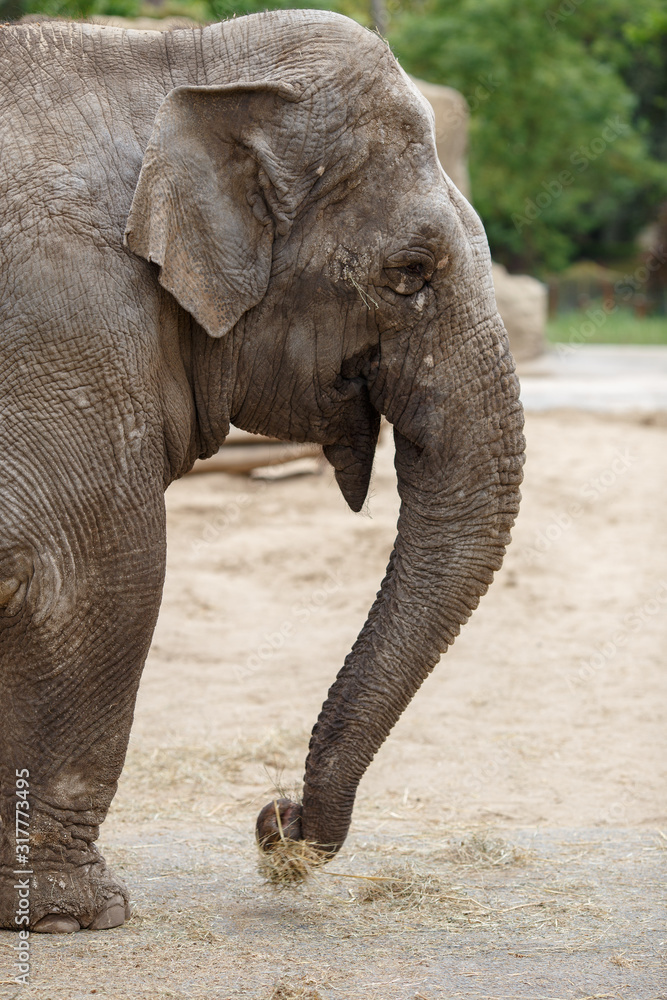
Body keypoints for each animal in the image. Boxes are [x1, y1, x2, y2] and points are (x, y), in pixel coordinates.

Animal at [0, 9, 524, 934]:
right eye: (410, 273)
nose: (276, 820)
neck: (178, 57)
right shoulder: (66, 320)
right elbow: (95, 577)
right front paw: (76, 916)